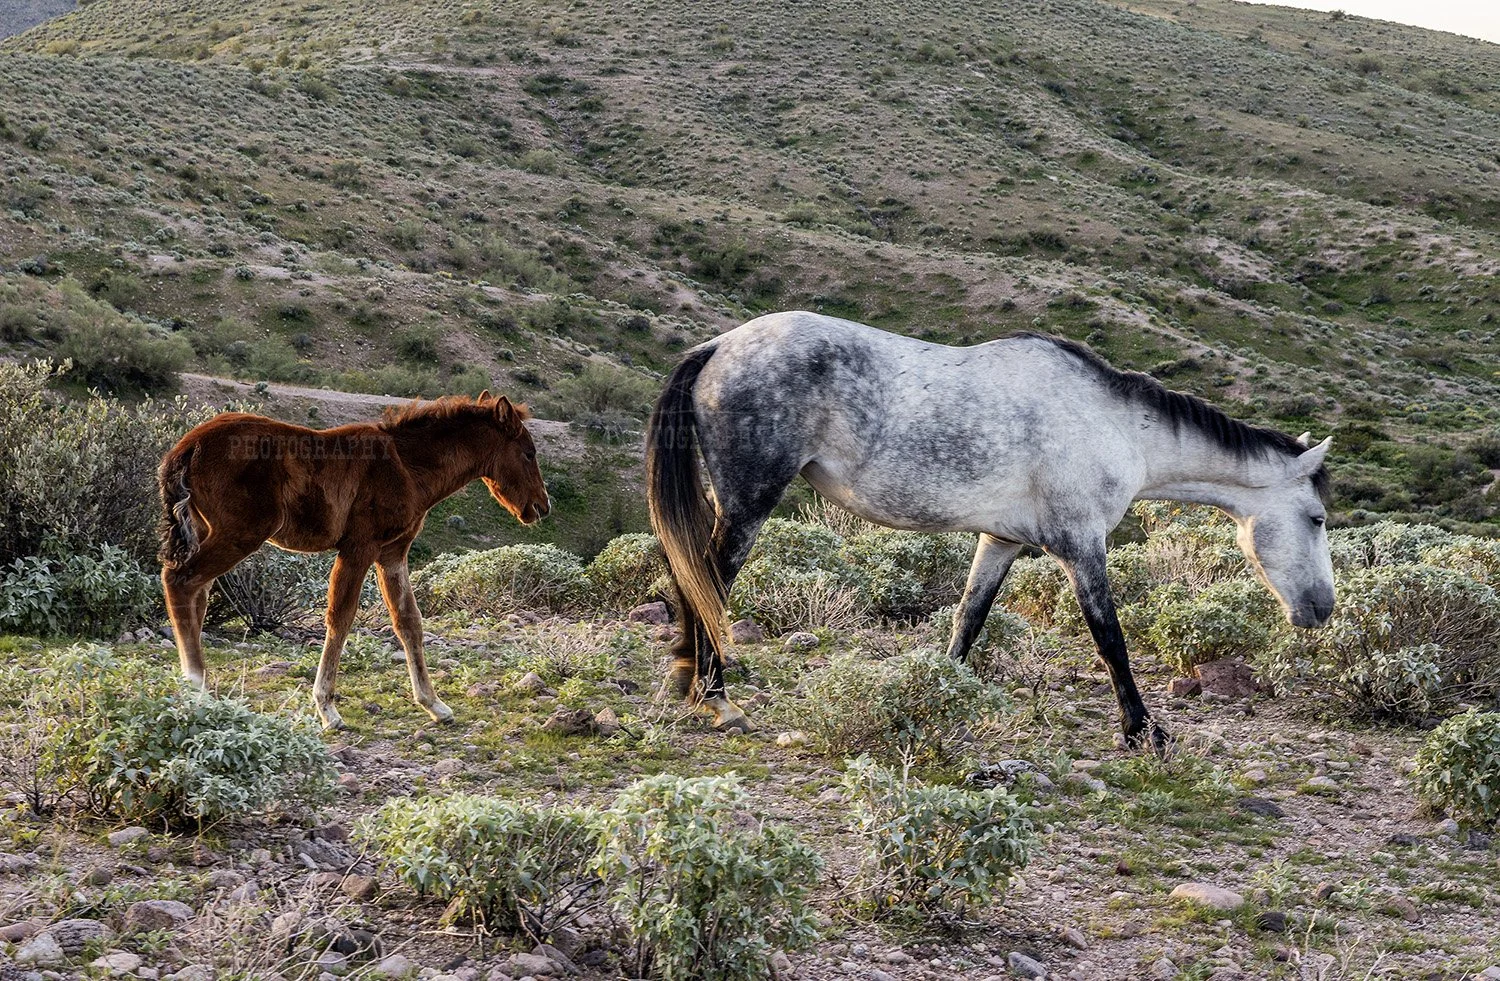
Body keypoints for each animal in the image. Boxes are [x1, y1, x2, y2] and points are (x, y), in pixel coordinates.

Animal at [157, 392, 550, 730]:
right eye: (529, 453)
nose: (541, 506)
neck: (406, 465)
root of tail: (188, 446)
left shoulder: (392, 554)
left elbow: (408, 621)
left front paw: (434, 703)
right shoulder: (359, 548)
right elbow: (341, 618)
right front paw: (327, 708)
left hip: (210, 531)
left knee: (196, 594)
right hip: (240, 533)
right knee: (180, 580)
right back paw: (196, 686)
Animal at [645, 311, 1334, 751]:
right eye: (1317, 518)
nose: (1322, 609)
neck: (1114, 425)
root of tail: (718, 348)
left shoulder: (1002, 541)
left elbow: (968, 619)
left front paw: (934, 697)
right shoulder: (1082, 547)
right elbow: (1110, 639)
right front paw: (1145, 730)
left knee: (692, 575)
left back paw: (685, 678)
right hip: (749, 502)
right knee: (710, 581)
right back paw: (716, 697)